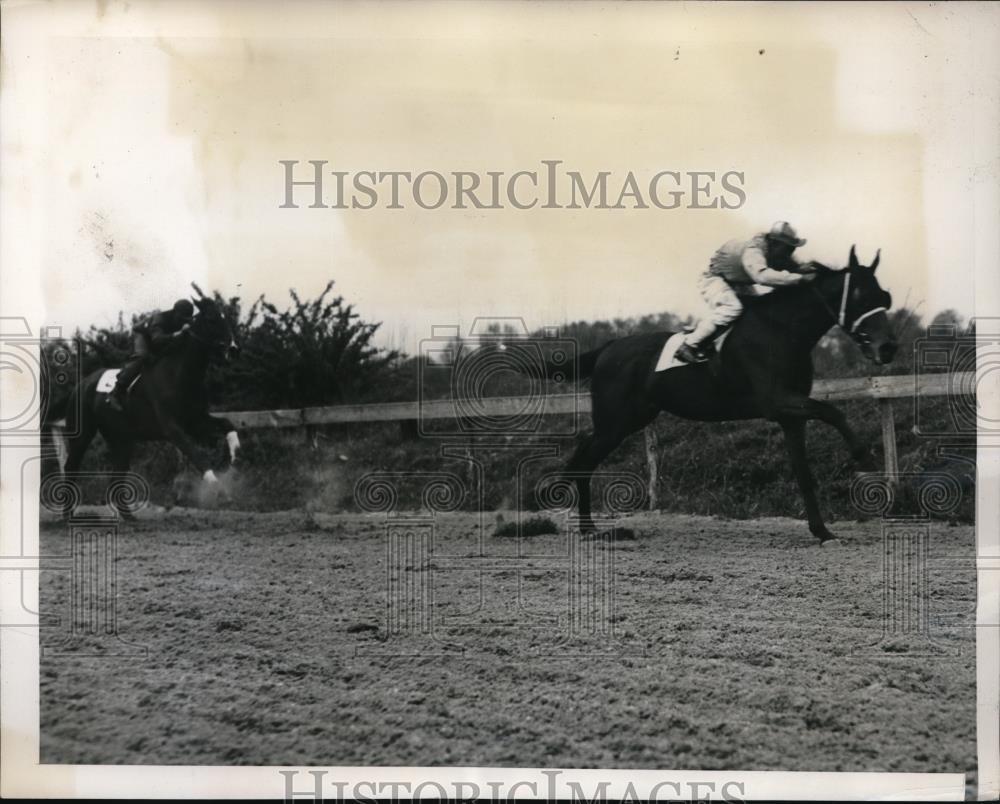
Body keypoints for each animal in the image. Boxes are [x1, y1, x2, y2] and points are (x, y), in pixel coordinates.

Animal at [50, 294, 244, 516]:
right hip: (83, 434)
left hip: (121, 438)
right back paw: (67, 515)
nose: (234, 349)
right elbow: (196, 454)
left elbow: (227, 424)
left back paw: (128, 517)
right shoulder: (172, 429)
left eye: (226, 318)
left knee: (117, 473)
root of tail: (81, 385)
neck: (180, 375)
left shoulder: (195, 421)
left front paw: (235, 457)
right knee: (71, 466)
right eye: (212, 319)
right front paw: (220, 490)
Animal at [556, 248, 900, 544]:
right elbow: (833, 412)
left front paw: (823, 531)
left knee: (582, 457)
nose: (887, 348)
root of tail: (608, 347)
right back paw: (582, 524)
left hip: (627, 420)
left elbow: (804, 473)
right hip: (615, 422)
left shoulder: (792, 417)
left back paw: (587, 525)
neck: (782, 331)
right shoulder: (778, 402)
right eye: (859, 296)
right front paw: (864, 457)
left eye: (885, 296)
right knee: (583, 460)